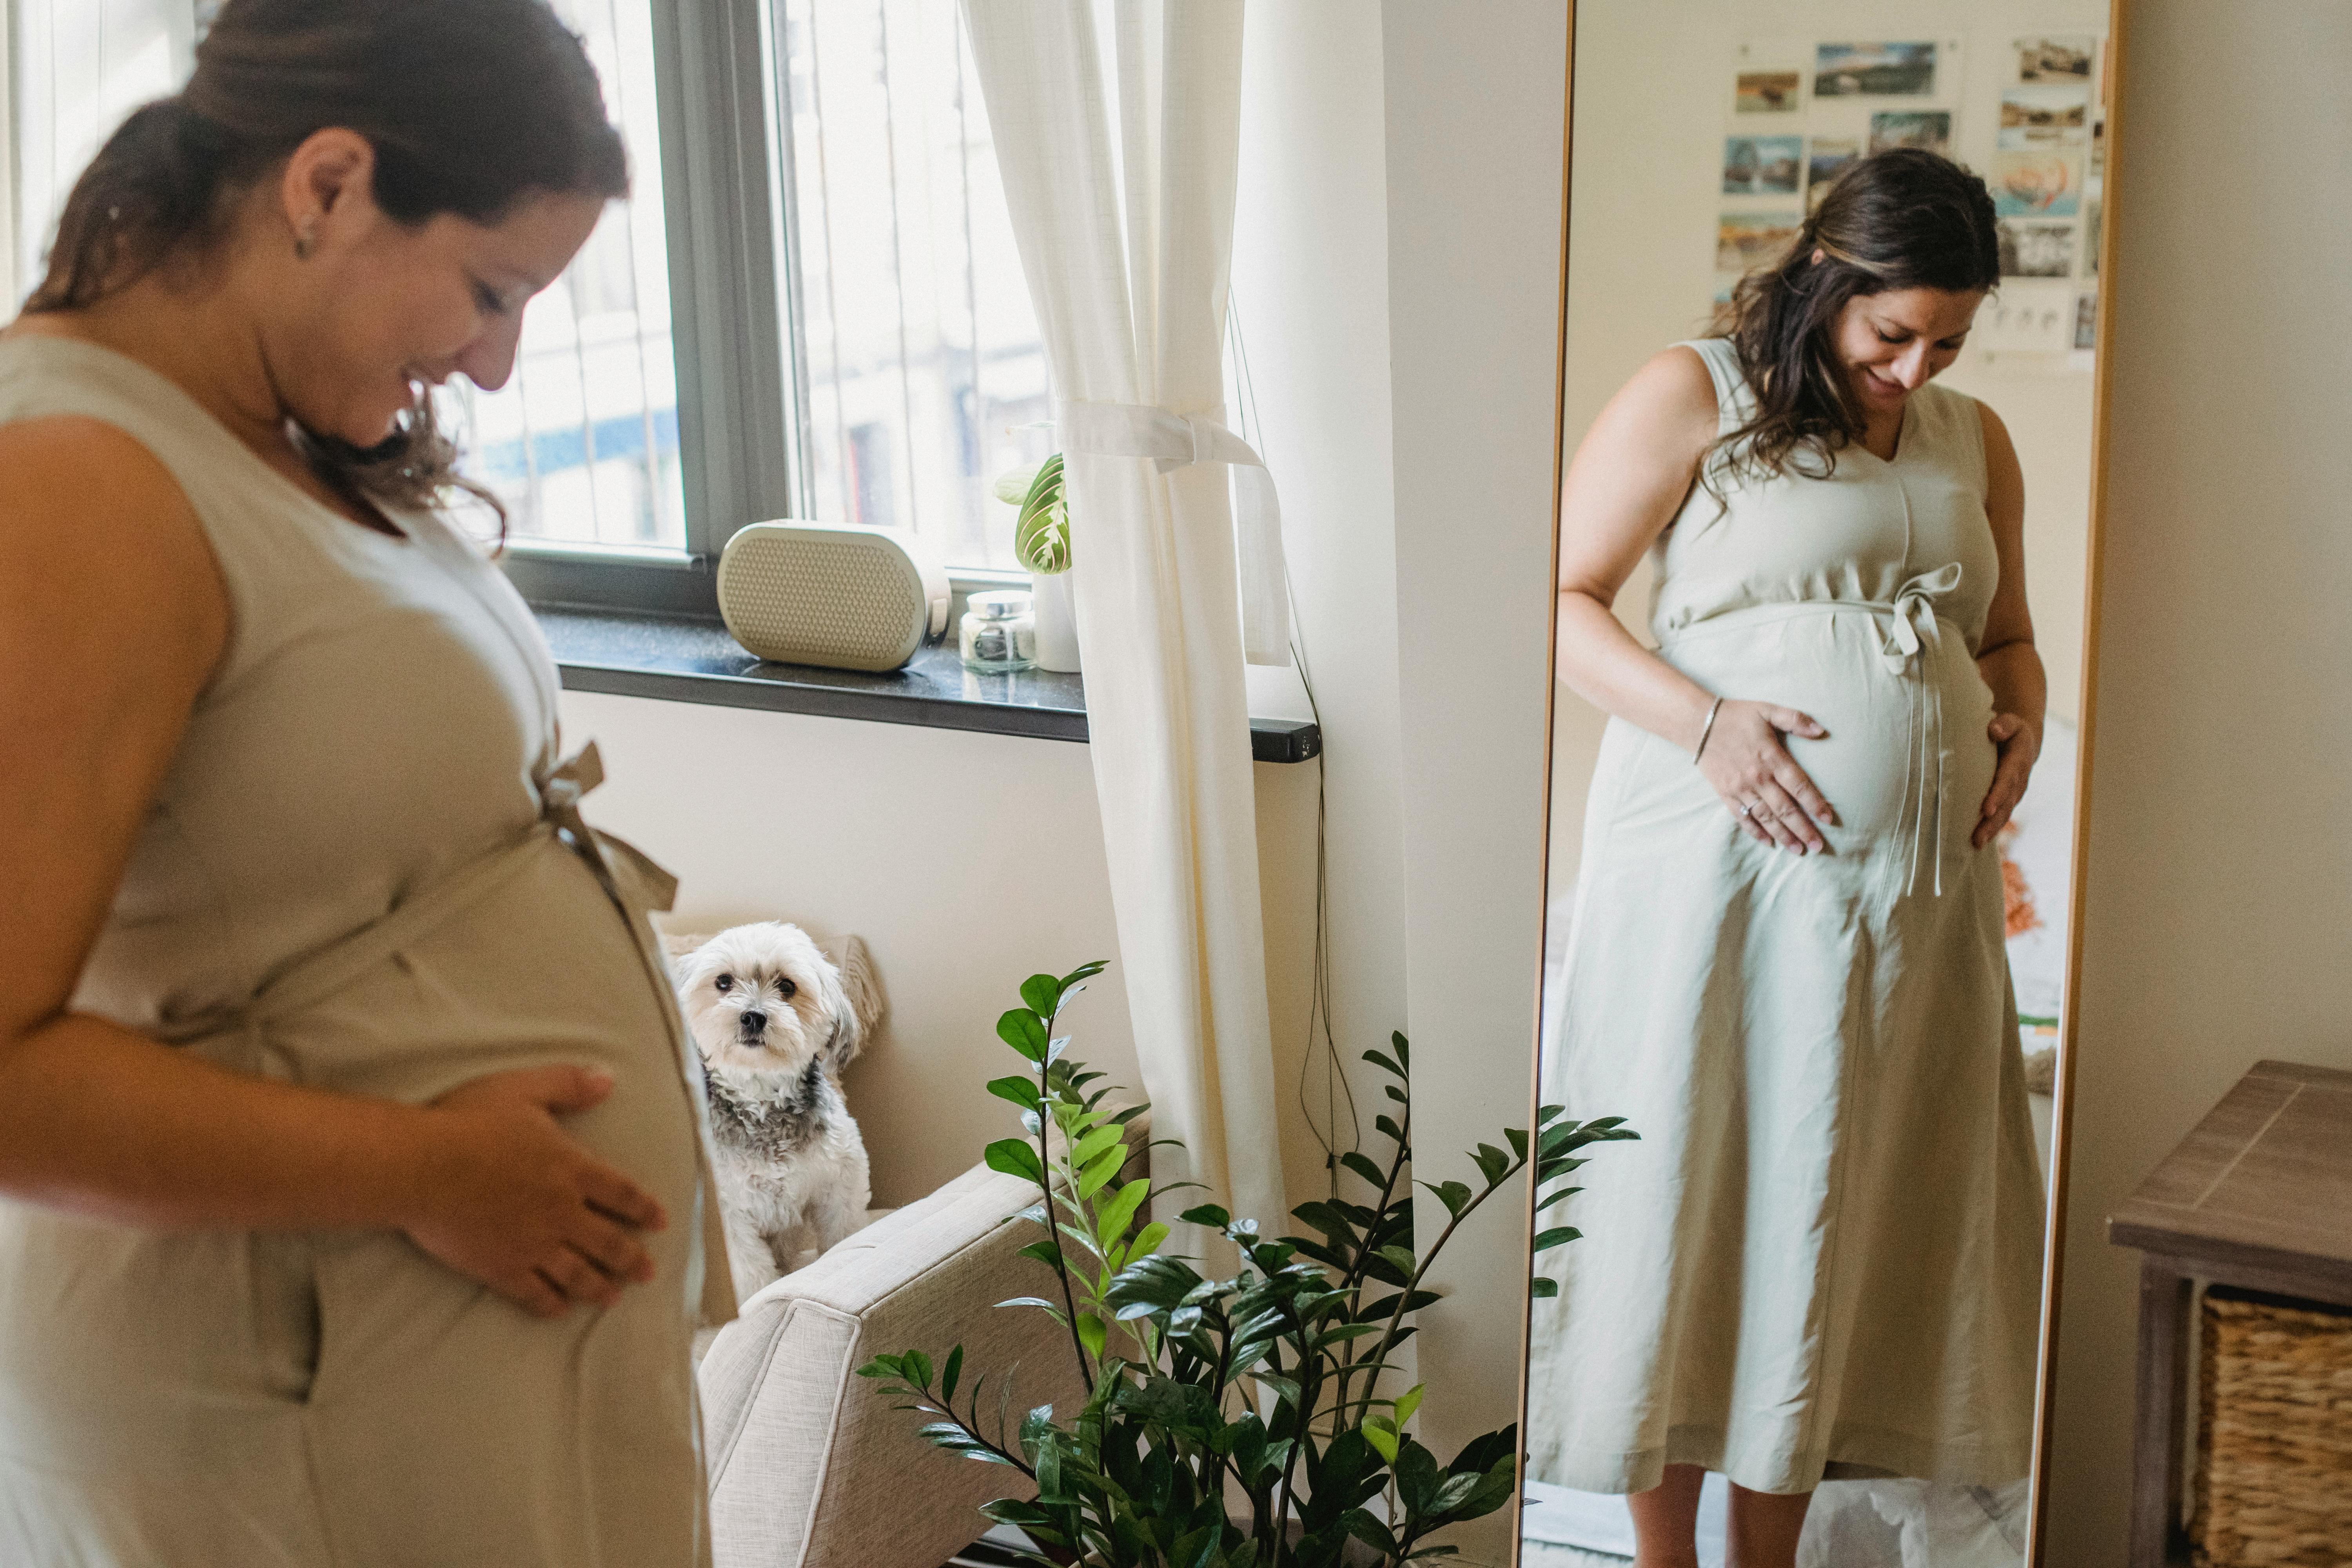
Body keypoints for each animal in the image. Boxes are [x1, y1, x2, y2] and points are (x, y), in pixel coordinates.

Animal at [673, 926, 884, 1307]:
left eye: (787, 986)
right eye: (723, 982)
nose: (753, 1016)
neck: (761, 1100)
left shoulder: (839, 1186)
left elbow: (843, 1239)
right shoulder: (730, 1219)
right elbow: (754, 1280)